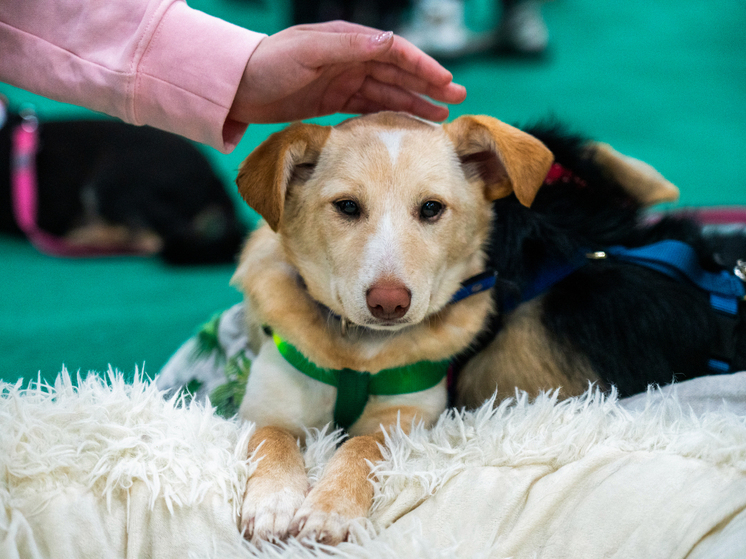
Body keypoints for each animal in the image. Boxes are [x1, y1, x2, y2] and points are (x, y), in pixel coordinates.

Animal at [229, 111, 745, 545]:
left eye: (431, 209)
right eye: (347, 207)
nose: (389, 303)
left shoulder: (406, 421)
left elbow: (361, 446)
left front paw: (330, 508)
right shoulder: (267, 410)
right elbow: (271, 439)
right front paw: (274, 501)